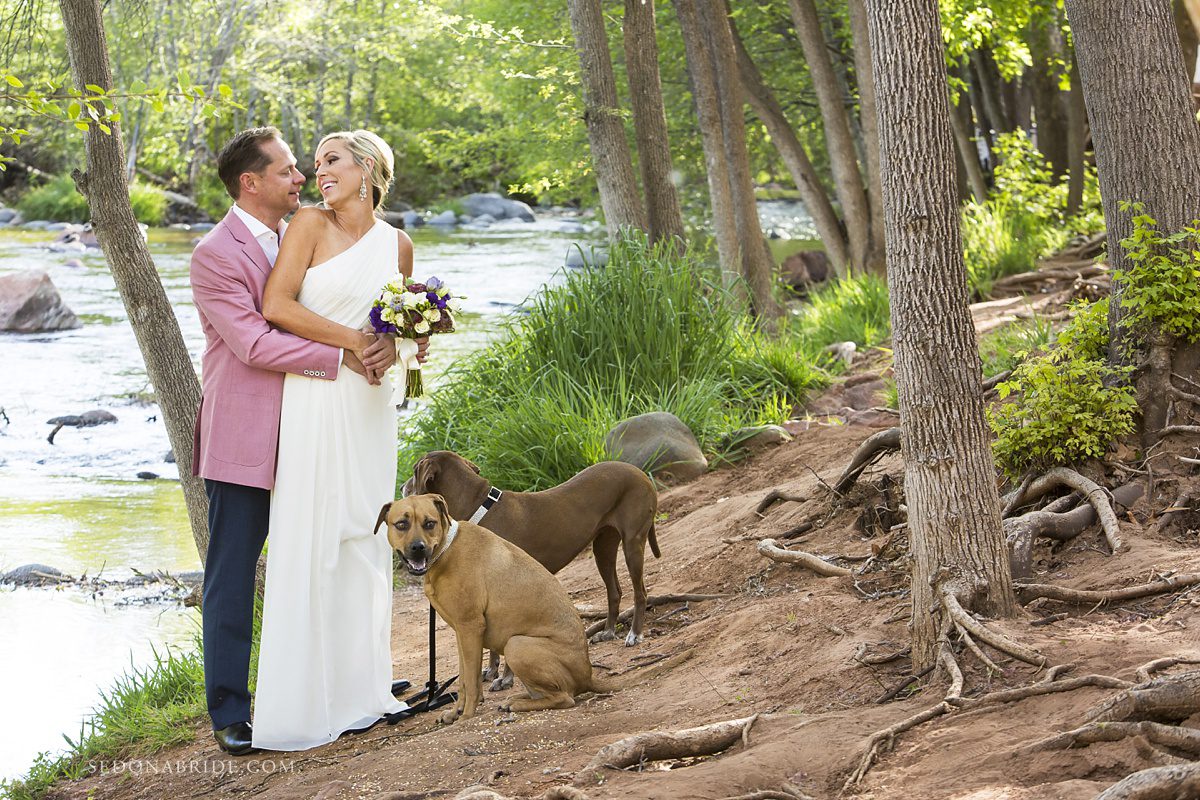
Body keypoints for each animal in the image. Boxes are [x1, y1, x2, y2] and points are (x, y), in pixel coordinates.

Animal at [374, 494, 595, 724]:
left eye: (429, 523)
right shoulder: (461, 633)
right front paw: (455, 712)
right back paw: (515, 699)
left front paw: (466, 716)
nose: (418, 547)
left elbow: (471, 681)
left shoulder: (471, 627)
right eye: (401, 524)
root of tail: (587, 675)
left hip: (516, 645)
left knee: (564, 698)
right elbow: (463, 680)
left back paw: (517, 704)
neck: (445, 551)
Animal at [403, 453, 657, 647]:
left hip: (632, 543)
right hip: (603, 547)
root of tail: (639, 472)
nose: (403, 487)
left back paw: (635, 634)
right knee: (614, 591)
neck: (479, 507)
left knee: (640, 592)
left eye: (414, 470)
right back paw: (609, 631)